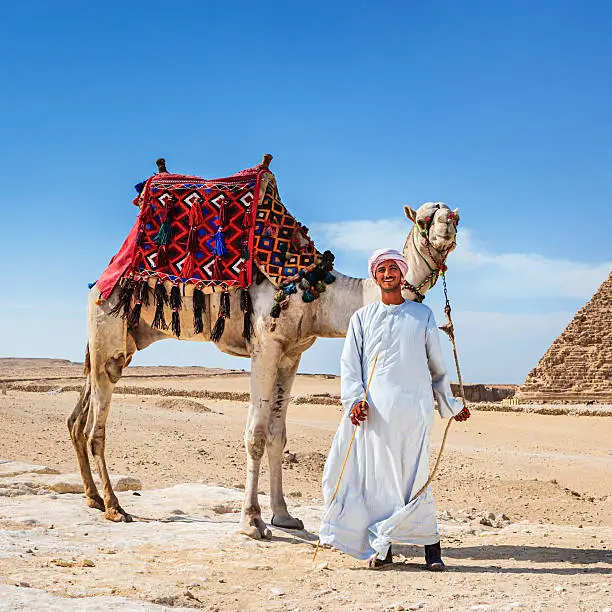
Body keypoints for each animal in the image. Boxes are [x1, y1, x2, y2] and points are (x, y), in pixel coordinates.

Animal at [68, 158, 460, 540]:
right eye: (424, 219)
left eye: (453, 215)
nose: (449, 225)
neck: (317, 290)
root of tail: (99, 281)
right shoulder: (265, 347)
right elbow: (255, 435)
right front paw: (252, 521)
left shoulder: (291, 355)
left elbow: (277, 436)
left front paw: (284, 516)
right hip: (107, 328)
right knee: (95, 427)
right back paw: (114, 507)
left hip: (122, 344)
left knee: (78, 419)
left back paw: (92, 497)